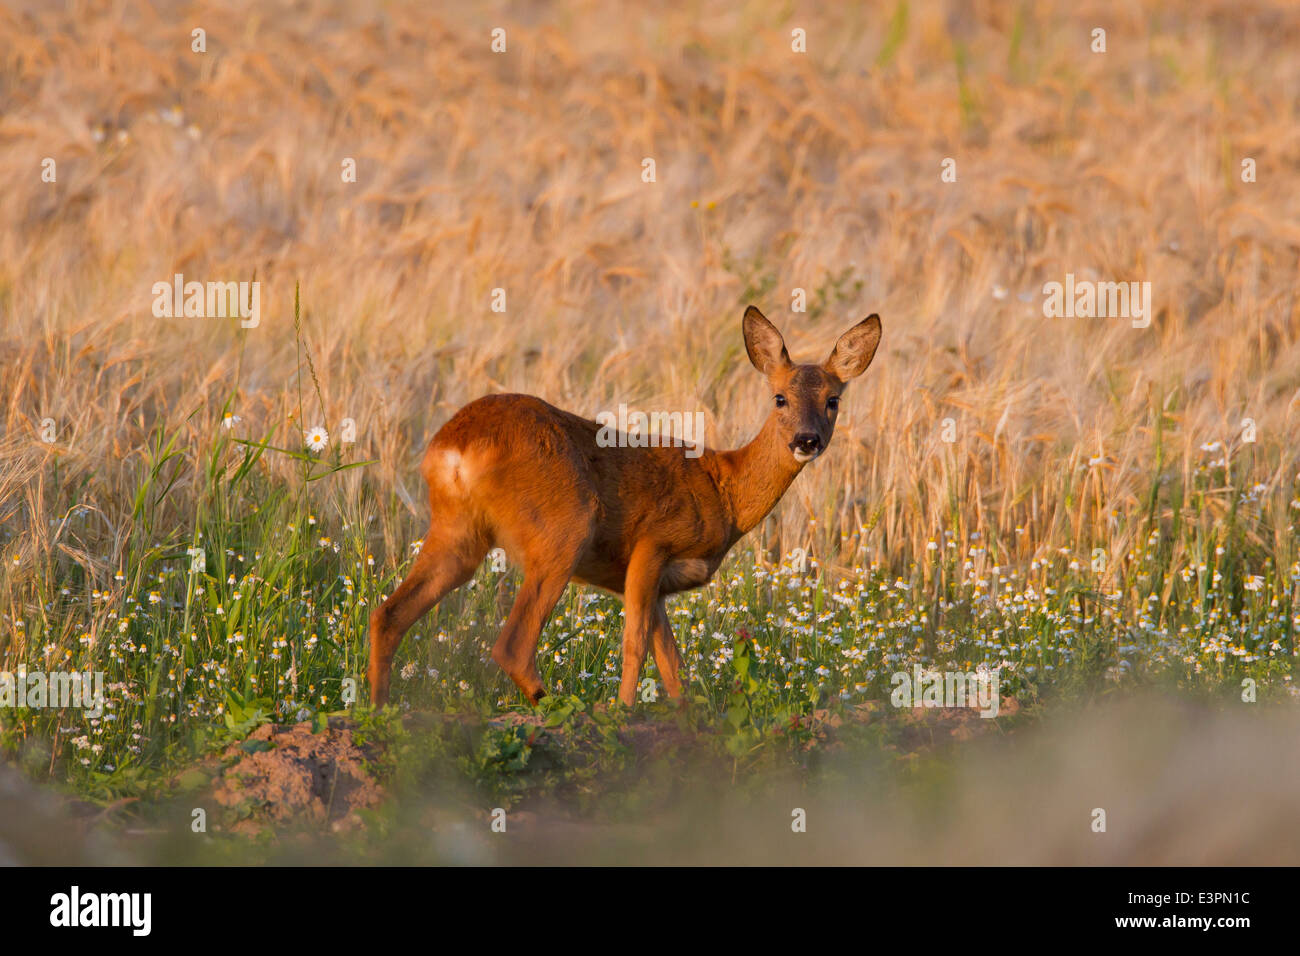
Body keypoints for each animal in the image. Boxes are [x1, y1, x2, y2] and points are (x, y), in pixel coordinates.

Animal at [366, 308, 883, 712]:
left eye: (833, 400)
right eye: (779, 398)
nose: (807, 440)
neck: (724, 490)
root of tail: (453, 446)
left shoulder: (657, 585)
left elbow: (672, 663)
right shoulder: (653, 543)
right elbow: (635, 645)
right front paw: (625, 711)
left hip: (457, 532)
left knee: (388, 614)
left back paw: (379, 711)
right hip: (564, 528)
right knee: (511, 644)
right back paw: (560, 708)